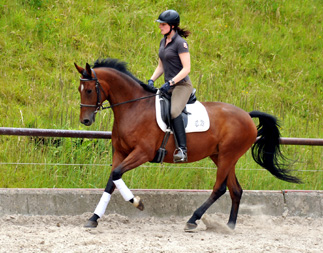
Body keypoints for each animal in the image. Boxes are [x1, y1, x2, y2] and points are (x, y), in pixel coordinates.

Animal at [74, 57, 302, 231]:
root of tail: (246, 115)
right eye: (79, 89)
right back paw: (229, 226)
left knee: (220, 188)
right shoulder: (120, 153)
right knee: (235, 190)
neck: (133, 107)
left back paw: (193, 220)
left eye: (89, 90)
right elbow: (112, 180)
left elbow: (116, 175)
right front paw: (94, 218)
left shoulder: (142, 153)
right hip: (221, 156)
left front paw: (137, 203)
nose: (85, 121)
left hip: (228, 156)